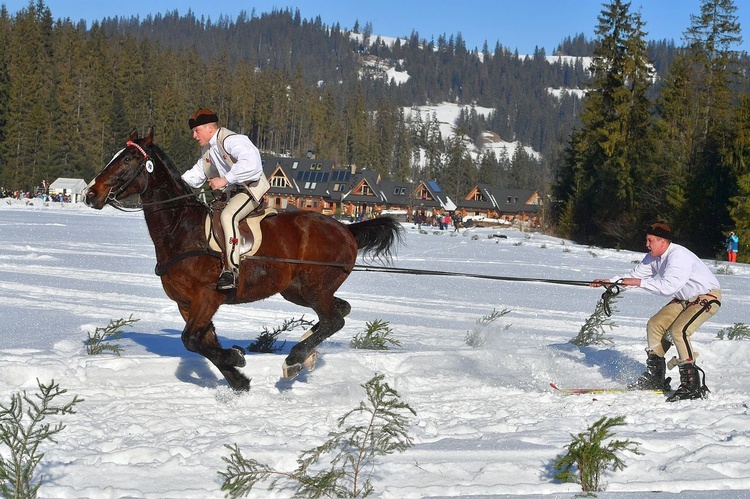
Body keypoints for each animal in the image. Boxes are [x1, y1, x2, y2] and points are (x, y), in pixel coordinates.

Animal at [86, 131, 406, 392]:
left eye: (127, 159)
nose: (91, 194)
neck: (182, 229)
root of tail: (346, 229)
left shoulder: (207, 296)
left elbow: (191, 340)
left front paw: (236, 358)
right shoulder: (186, 303)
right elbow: (203, 342)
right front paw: (238, 379)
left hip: (315, 287)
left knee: (333, 319)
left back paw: (294, 359)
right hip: (297, 290)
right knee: (339, 311)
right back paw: (306, 357)